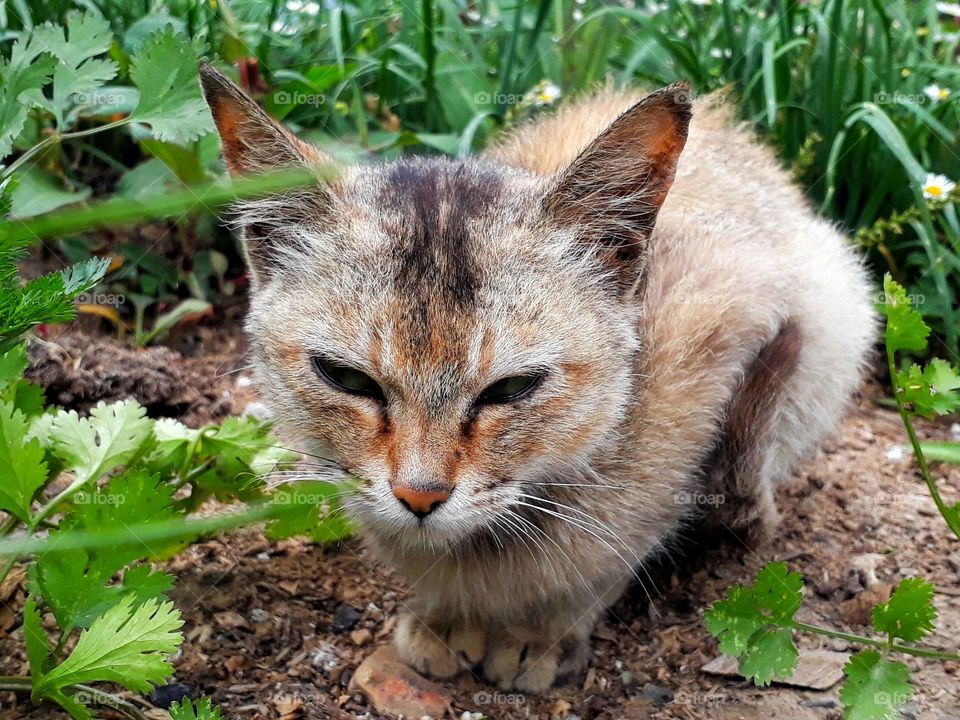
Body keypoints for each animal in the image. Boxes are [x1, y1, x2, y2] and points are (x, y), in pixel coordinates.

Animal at [199, 66, 872, 692]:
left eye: (512, 389)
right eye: (345, 378)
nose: (419, 497)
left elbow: (612, 551)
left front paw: (540, 629)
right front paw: (449, 613)